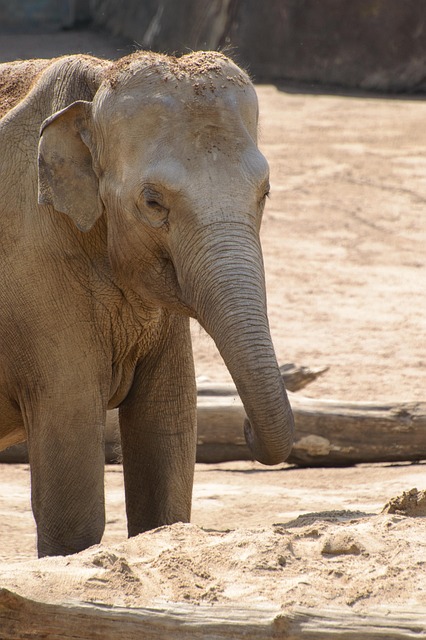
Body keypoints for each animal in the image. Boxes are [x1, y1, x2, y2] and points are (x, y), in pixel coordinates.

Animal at [0, 50, 294, 557]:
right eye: (153, 202)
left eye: (265, 192)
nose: (245, 428)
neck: (96, 83)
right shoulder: (34, 274)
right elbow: (71, 499)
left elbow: (166, 428)